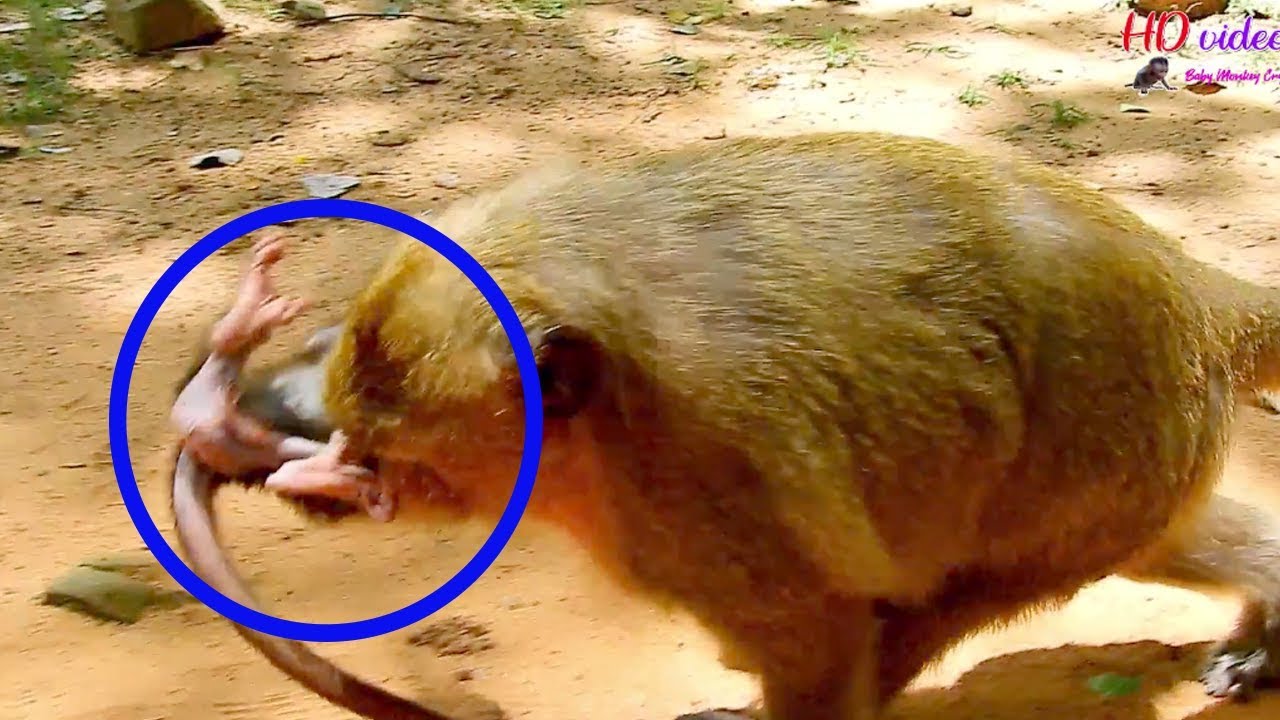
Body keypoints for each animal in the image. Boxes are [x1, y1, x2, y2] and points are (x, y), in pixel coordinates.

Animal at [170, 132, 1280, 720]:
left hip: (1112, 441)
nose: (283, 421)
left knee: (953, 592)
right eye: (334, 367)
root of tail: (1192, 291)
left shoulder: (703, 488)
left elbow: (819, 641)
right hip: (1149, 447)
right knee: (1152, 539)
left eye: (383, 451)